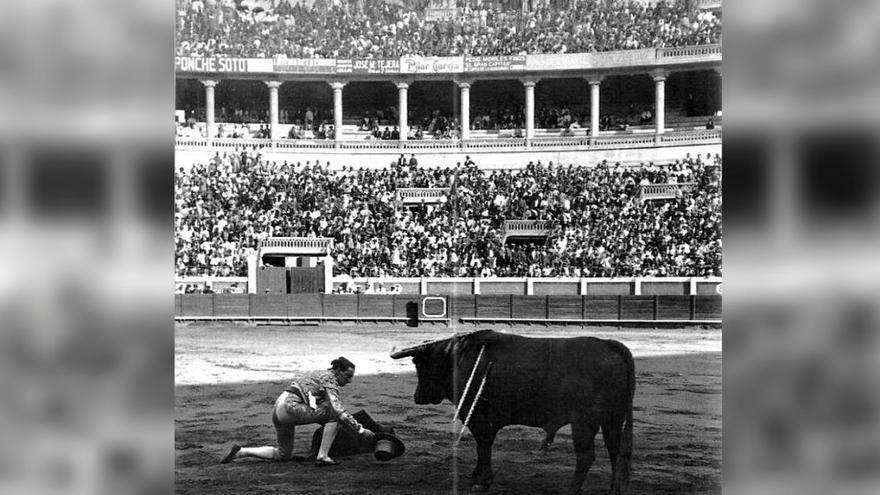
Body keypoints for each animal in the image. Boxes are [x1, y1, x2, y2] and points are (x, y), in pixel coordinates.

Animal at [392, 332, 632, 494]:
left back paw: (572, 490)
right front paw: (478, 477)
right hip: (611, 420)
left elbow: (483, 447)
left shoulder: (478, 418)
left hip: (584, 423)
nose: (417, 396)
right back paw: (613, 490)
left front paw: (481, 481)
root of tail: (610, 345)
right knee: (615, 452)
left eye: (418, 365)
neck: (455, 359)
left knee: (586, 456)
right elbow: (484, 447)